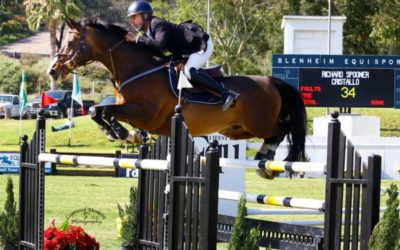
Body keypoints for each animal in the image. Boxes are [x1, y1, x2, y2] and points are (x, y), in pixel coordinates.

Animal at [48, 20, 308, 179]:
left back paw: (268, 161)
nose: (52, 71)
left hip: (259, 123)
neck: (137, 69)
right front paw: (120, 134)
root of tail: (271, 81)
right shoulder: (128, 108)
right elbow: (97, 111)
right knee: (275, 133)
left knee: (283, 129)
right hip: (237, 130)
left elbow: (106, 111)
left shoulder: (145, 115)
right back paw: (264, 159)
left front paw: (122, 133)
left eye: (71, 43)